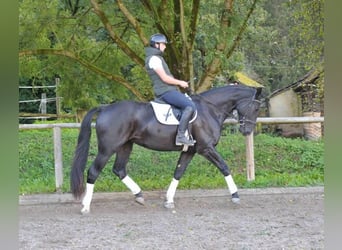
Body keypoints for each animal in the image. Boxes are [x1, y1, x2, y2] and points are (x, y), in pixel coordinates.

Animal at [71, 84, 260, 213]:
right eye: (256, 107)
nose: (247, 131)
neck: (209, 110)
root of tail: (105, 108)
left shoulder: (189, 151)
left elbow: (178, 172)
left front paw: (169, 200)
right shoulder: (206, 148)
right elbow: (224, 167)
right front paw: (235, 196)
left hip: (125, 146)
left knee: (119, 170)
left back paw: (139, 195)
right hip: (107, 149)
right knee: (93, 172)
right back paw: (85, 206)